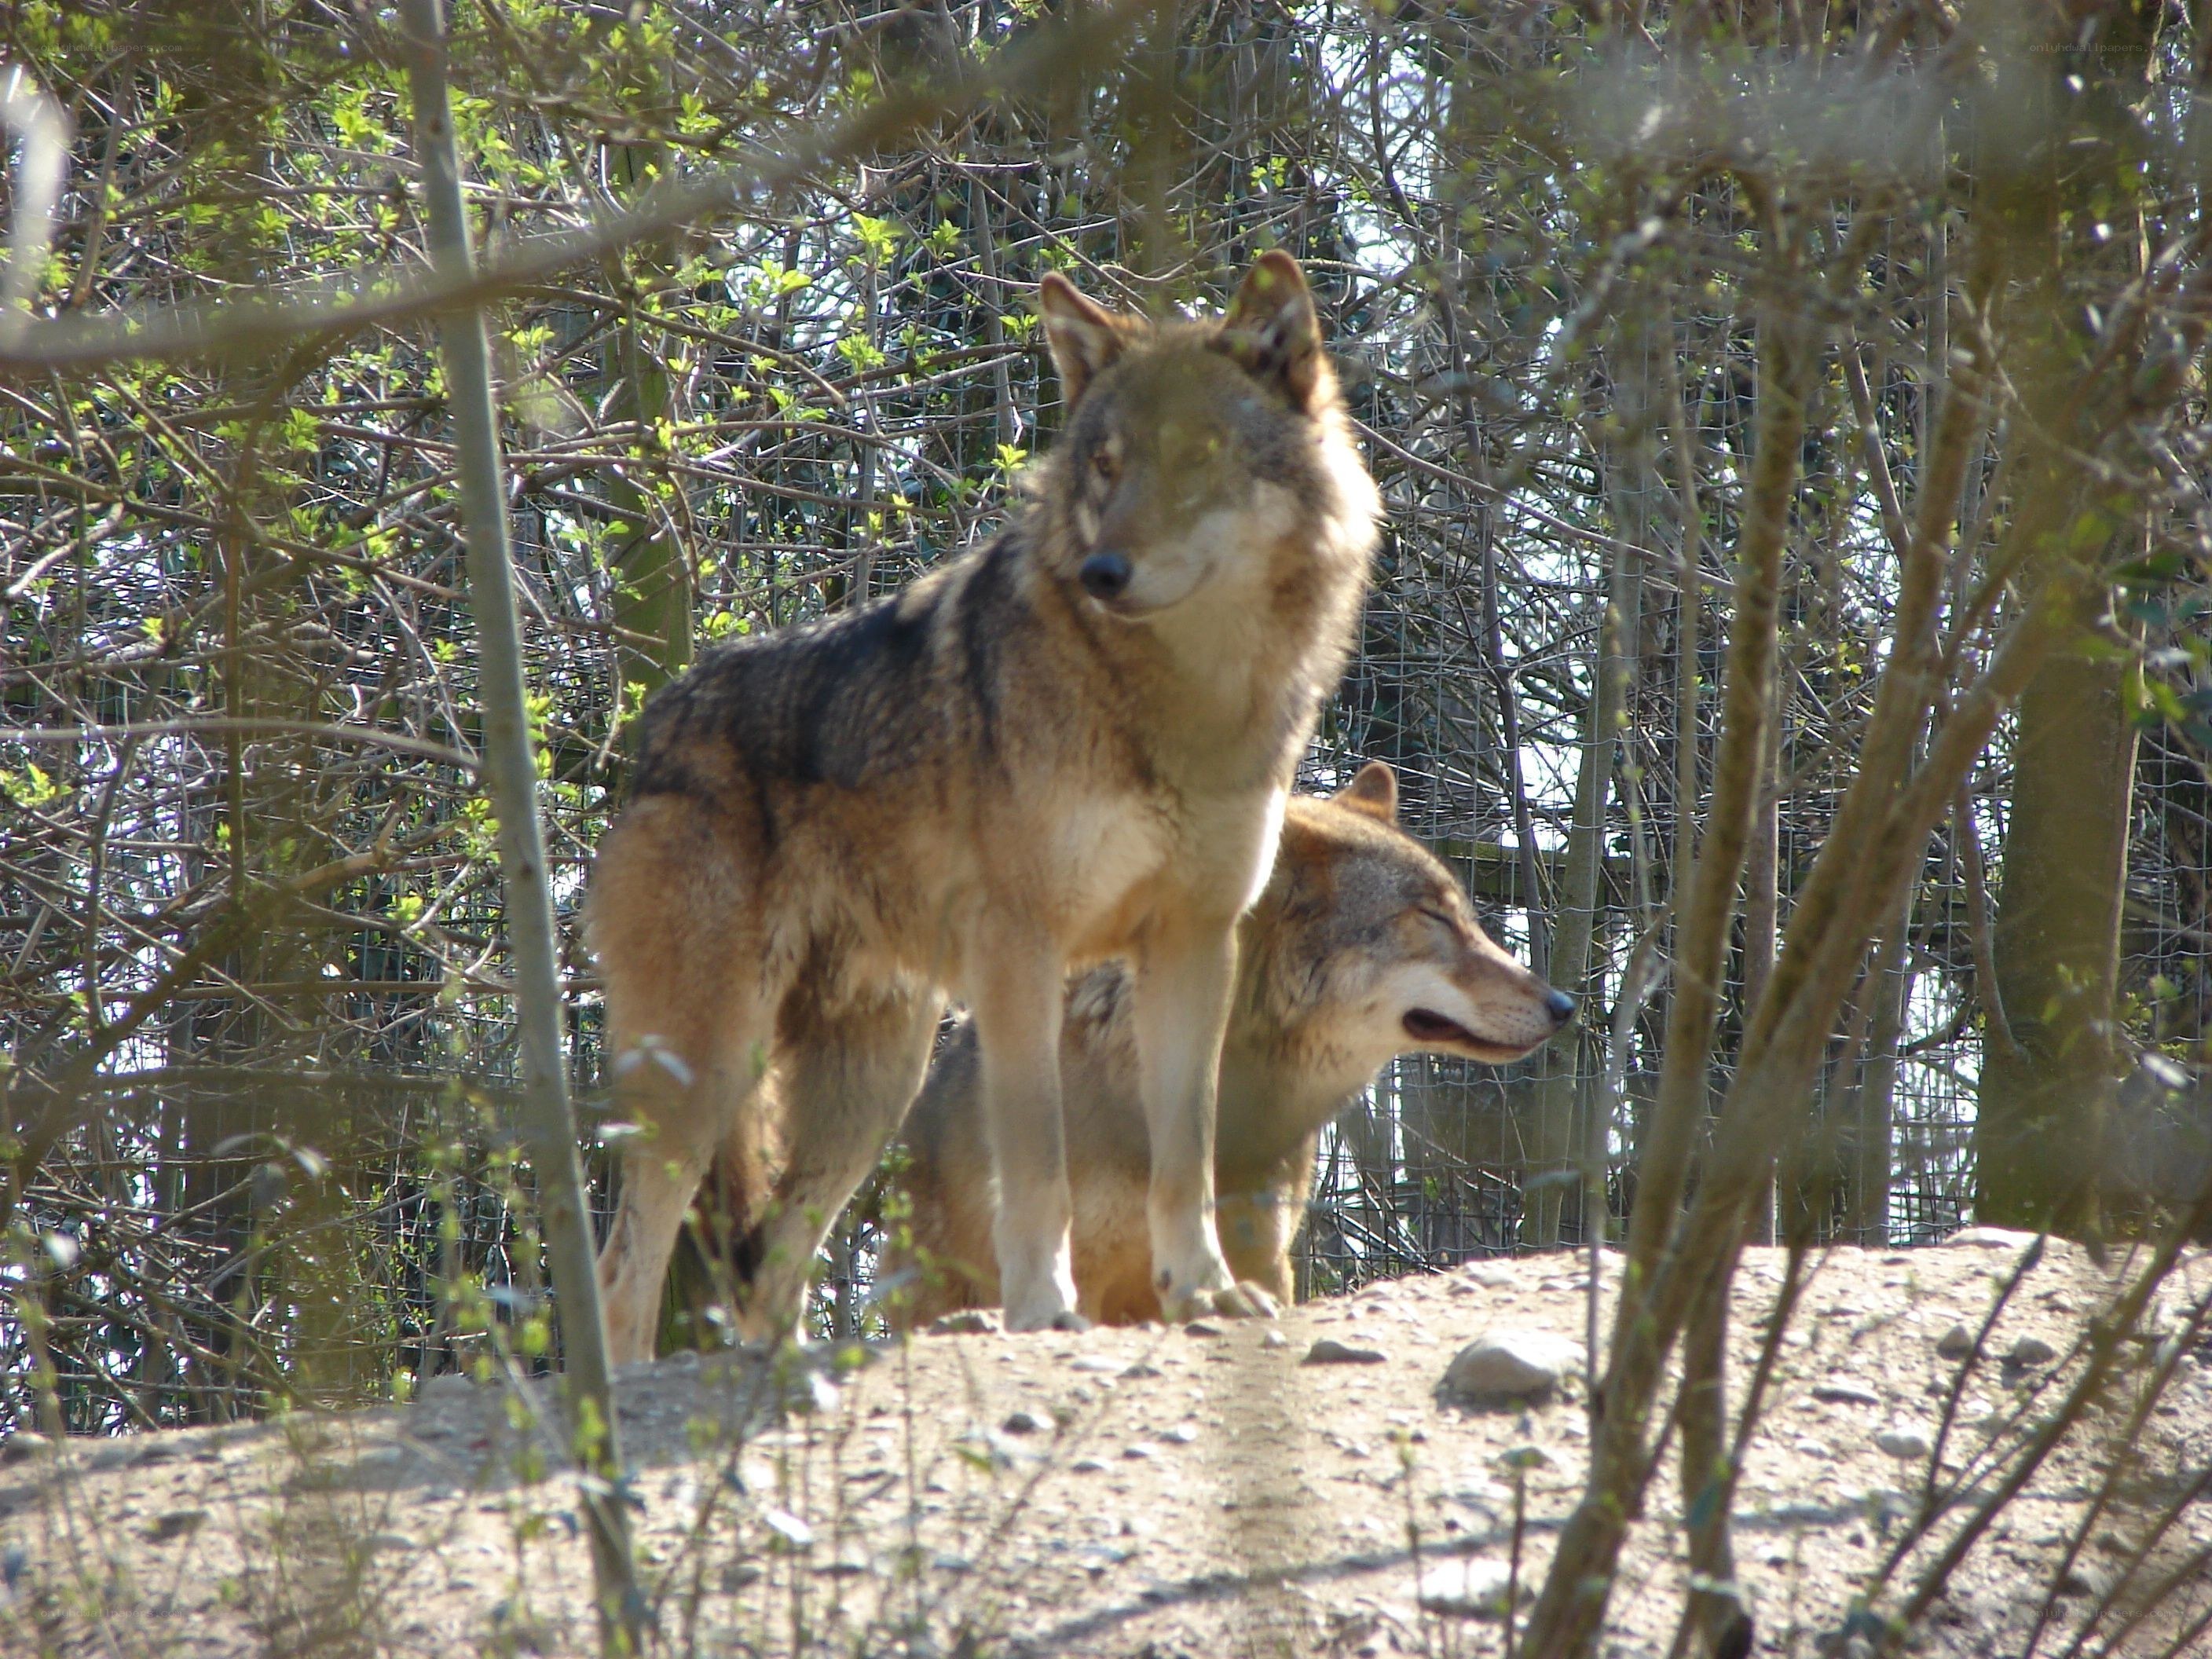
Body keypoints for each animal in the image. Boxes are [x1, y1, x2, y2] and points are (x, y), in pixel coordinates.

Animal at [586, 253, 1382, 1360]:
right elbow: (1038, 1165)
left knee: (768, 1272)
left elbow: (1185, 1157)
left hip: (871, 1085)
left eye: (1198, 455)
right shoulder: (1024, 948)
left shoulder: (1194, 938)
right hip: (709, 1069)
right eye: (1103, 465)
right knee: (625, 1268)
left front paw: (1203, 1294)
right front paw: (1044, 1308)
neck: (1179, 703)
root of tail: (652, 728)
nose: (1102, 572)